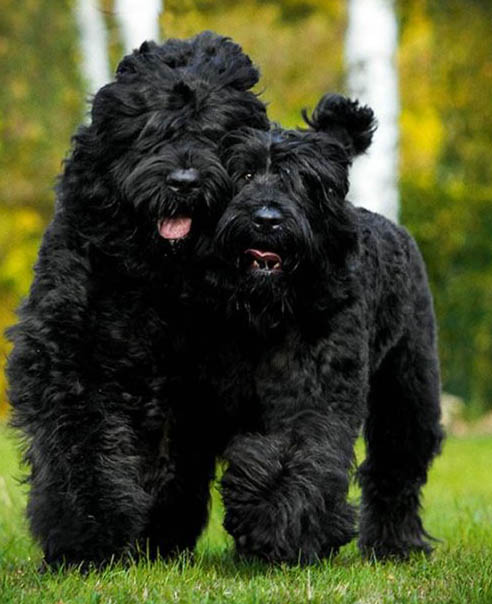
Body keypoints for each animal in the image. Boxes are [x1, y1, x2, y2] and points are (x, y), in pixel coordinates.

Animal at [6, 31, 270, 572]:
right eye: (152, 133)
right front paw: (86, 538)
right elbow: (81, 444)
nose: (184, 182)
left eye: (216, 135)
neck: (161, 274)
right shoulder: (76, 355)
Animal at [193, 93, 446, 560]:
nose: (267, 218)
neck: (270, 314)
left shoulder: (316, 394)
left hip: (409, 389)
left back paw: (394, 542)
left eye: (301, 179)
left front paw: (276, 516)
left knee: (396, 466)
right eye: (245, 172)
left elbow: (300, 451)